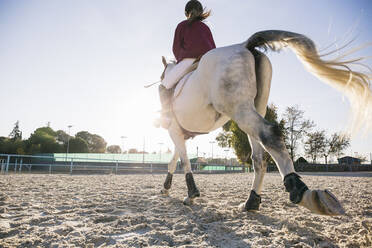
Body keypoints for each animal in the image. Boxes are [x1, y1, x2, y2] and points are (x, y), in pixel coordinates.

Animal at [158, 29, 370, 215]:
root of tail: (244, 45)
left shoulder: (173, 130)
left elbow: (183, 160)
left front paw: (190, 195)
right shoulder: (180, 133)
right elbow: (174, 160)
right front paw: (166, 188)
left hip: (240, 110)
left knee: (270, 136)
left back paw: (300, 193)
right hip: (253, 110)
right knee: (259, 157)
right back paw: (251, 202)